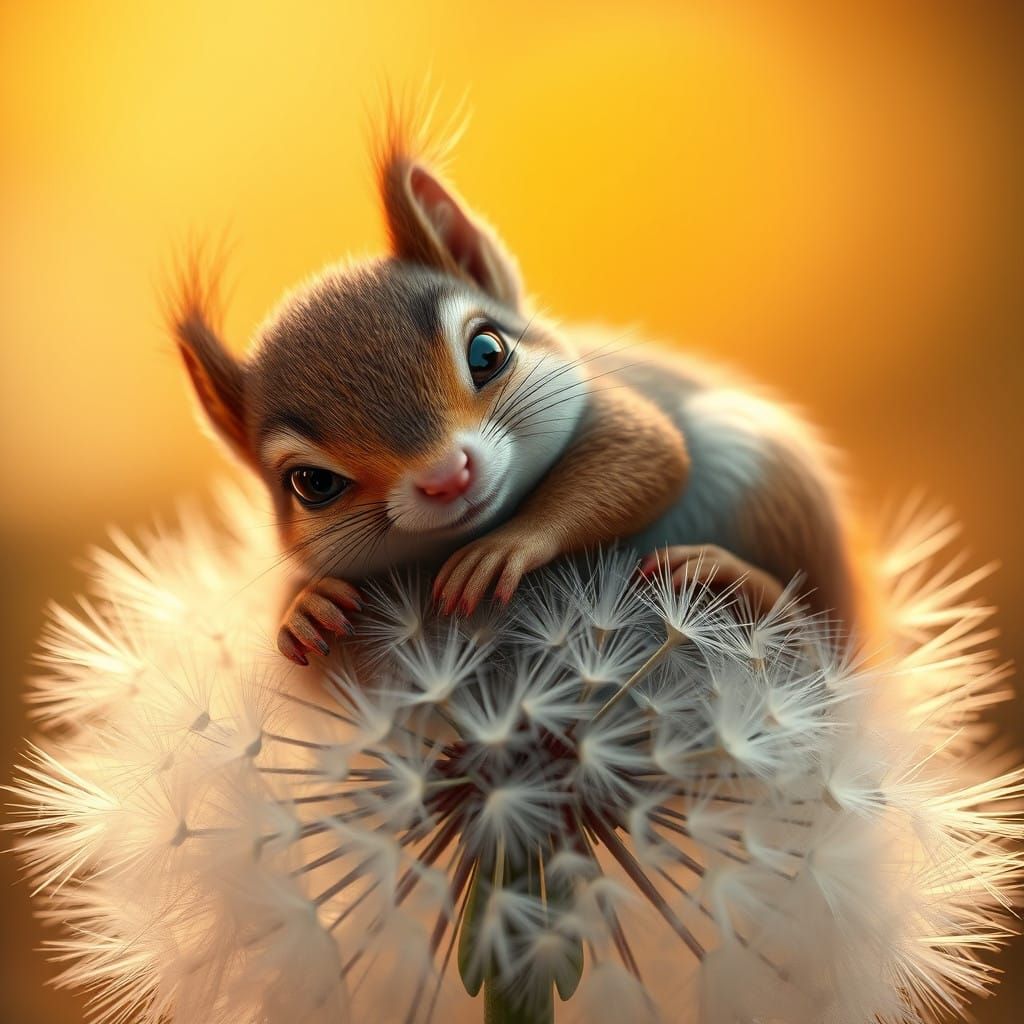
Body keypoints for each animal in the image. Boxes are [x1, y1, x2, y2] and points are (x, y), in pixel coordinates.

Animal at [169, 114, 858, 666]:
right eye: (311, 484)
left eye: (487, 352)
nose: (445, 477)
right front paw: (304, 607)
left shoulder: (613, 406)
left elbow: (648, 457)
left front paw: (504, 547)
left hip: (773, 481)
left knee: (828, 649)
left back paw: (730, 581)